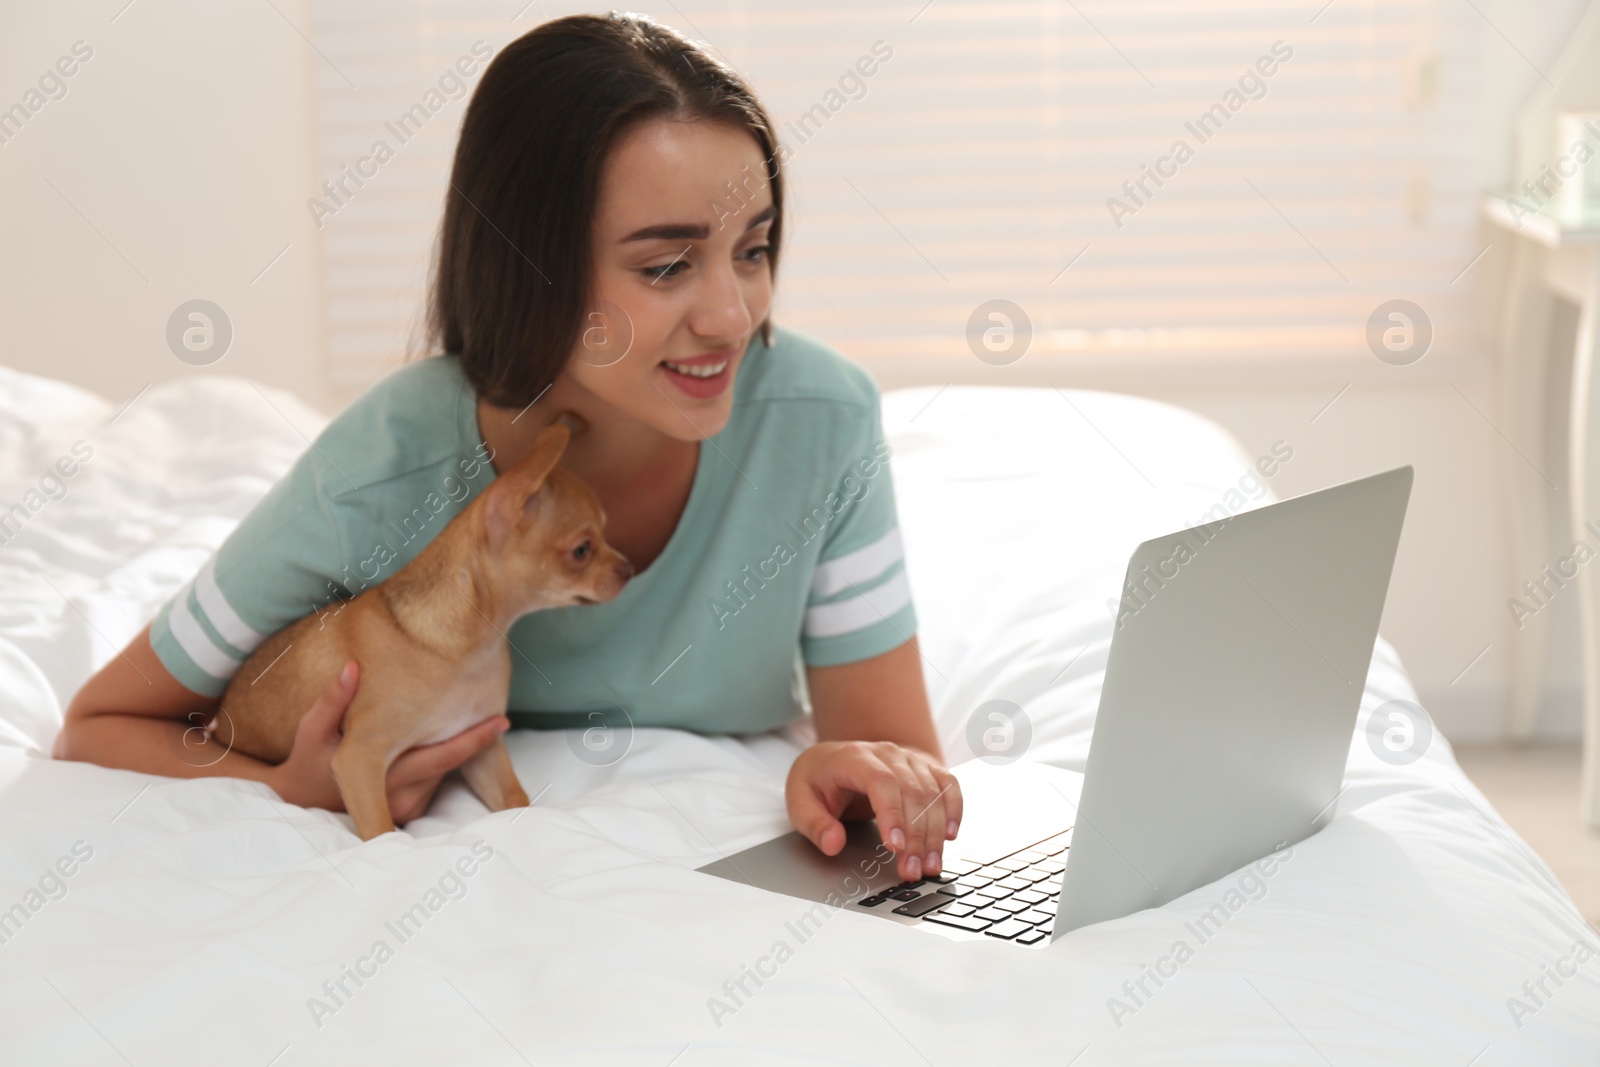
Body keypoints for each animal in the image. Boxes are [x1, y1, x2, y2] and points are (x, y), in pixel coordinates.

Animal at [214, 422, 636, 838]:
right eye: (582, 551)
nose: (629, 569)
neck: (470, 647)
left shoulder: (483, 752)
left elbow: (516, 800)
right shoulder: (359, 760)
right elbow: (381, 833)